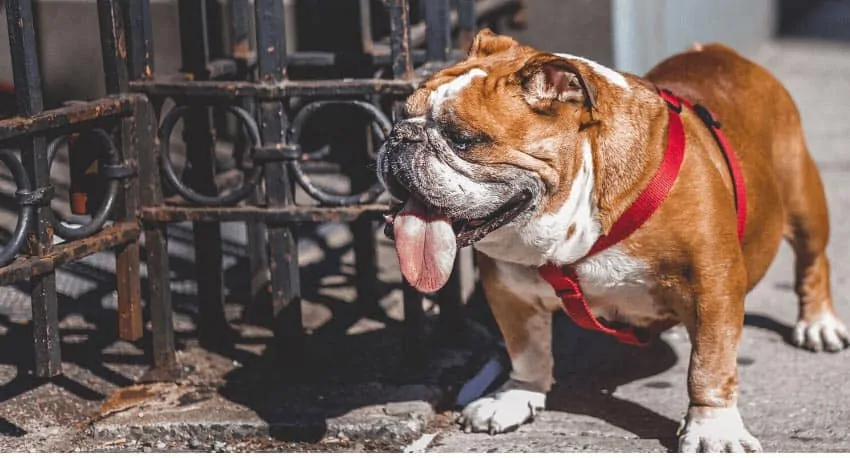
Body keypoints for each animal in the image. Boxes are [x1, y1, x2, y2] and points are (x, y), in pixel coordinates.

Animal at [378, 30, 848, 452]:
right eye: (402, 115)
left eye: (463, 139)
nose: (398, 138)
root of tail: (722, 52)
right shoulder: (509, 289)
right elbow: (526, 348)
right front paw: (516, 395)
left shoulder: (713, 287)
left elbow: (709, 365)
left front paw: (713, 429)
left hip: (802, 198)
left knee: (814, 260)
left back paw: (818, 324)